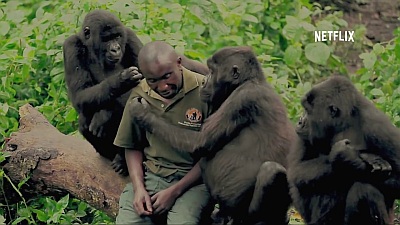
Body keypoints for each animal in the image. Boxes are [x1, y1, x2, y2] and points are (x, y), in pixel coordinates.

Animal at [62, 9, 209, 174]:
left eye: (117, 37)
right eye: (106, 39)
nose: (116, 49)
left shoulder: (130, 36)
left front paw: (106, 114)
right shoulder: (71, 46)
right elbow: (79, 95)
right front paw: (120, 81)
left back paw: (122, 158)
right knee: (85, 117)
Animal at [129, 46, 296, 225]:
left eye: (213, 71)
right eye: (208, 70)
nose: (204, 82)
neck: (247, 81)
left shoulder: (242, 98)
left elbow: (199, 142)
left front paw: (142, 113)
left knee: (271, 171)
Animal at [288, 75, 400, 225]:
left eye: (308, 111)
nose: (299, 121)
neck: (342, 122)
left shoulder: (378, 126)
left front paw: (352, 158)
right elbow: (296, 170)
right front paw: (349, 158)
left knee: (364, 189)